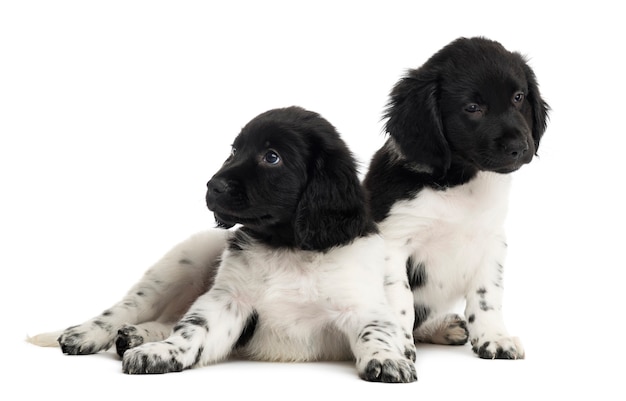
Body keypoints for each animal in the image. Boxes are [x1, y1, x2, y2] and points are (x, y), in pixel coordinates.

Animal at [31, 106, 416, 382]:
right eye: (234, 150)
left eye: (272, 156)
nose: (212, 186)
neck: (288, 246)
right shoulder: (228, 301)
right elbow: (192, 329)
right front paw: (162, 352)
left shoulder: (362, 305)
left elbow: (377, 332)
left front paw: (388, 359)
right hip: (181, 262)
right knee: (128, 308)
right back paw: (90, 333)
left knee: (167, 318)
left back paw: (135, 336)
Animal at [360, 36, 544, 358]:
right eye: (472, 107)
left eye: (519, 97)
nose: (520, 147)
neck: (457, 183)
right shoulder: (393, 241)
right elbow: (401, 299)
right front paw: (396, 347)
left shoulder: (492, 240)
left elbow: (487, 294)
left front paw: (494, 336)